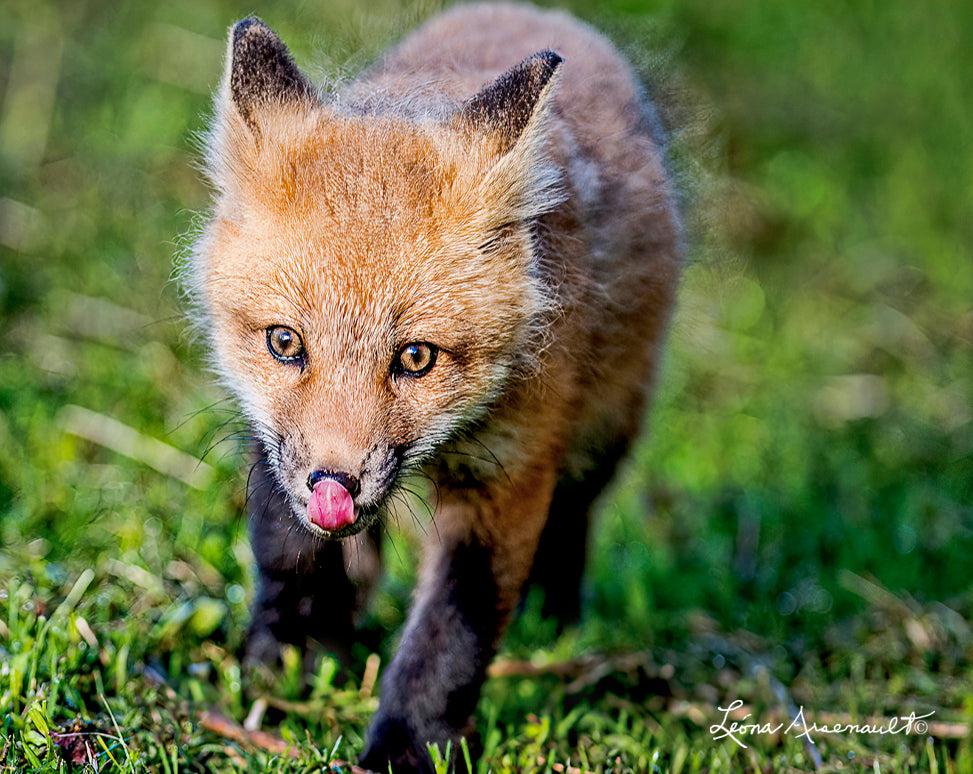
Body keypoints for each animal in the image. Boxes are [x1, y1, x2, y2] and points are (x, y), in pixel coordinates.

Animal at [186, 2, 681, 771]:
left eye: (416, 358)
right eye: (285, 343)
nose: (335, 484)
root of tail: (533, 13)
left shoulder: (506, 476)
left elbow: (451, 635)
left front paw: (408, 745)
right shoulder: (272, 435)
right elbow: (285, 547)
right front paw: (289, 655)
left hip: (604, 431)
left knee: (573, 517)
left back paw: (555, 620)